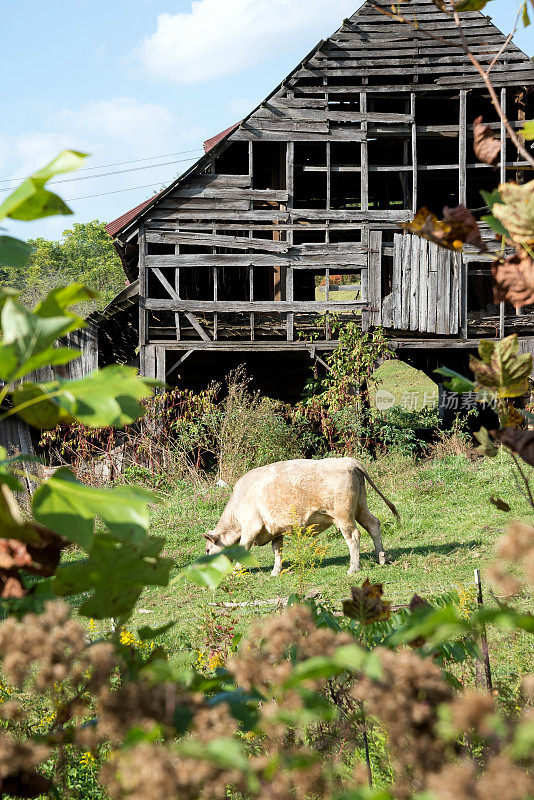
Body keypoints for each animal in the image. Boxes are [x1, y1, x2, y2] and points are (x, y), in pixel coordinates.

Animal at [203, 456, 400, 576]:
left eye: (207, 550)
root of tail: (348, 461)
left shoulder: (251, 527)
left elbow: (243, 548)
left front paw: (237, 570)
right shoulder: (275, 529)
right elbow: (277, 550)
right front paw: (275, 571)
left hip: (343, 516)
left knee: (353, 536)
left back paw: (353, 568)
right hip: (360, 507)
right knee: (373, 524)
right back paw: (381, 558)